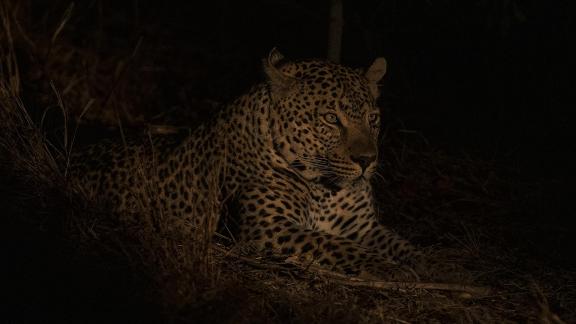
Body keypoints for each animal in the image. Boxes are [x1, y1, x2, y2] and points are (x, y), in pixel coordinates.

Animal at [68, 48, 428, 278]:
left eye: (373, 119)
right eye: (330, 119)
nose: (367, 160)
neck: (324, 187)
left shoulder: (362, 226)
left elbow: (402, 244)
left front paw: (433, 265)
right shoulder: (268, 228)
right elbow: (335, 246)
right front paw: (389, 269)